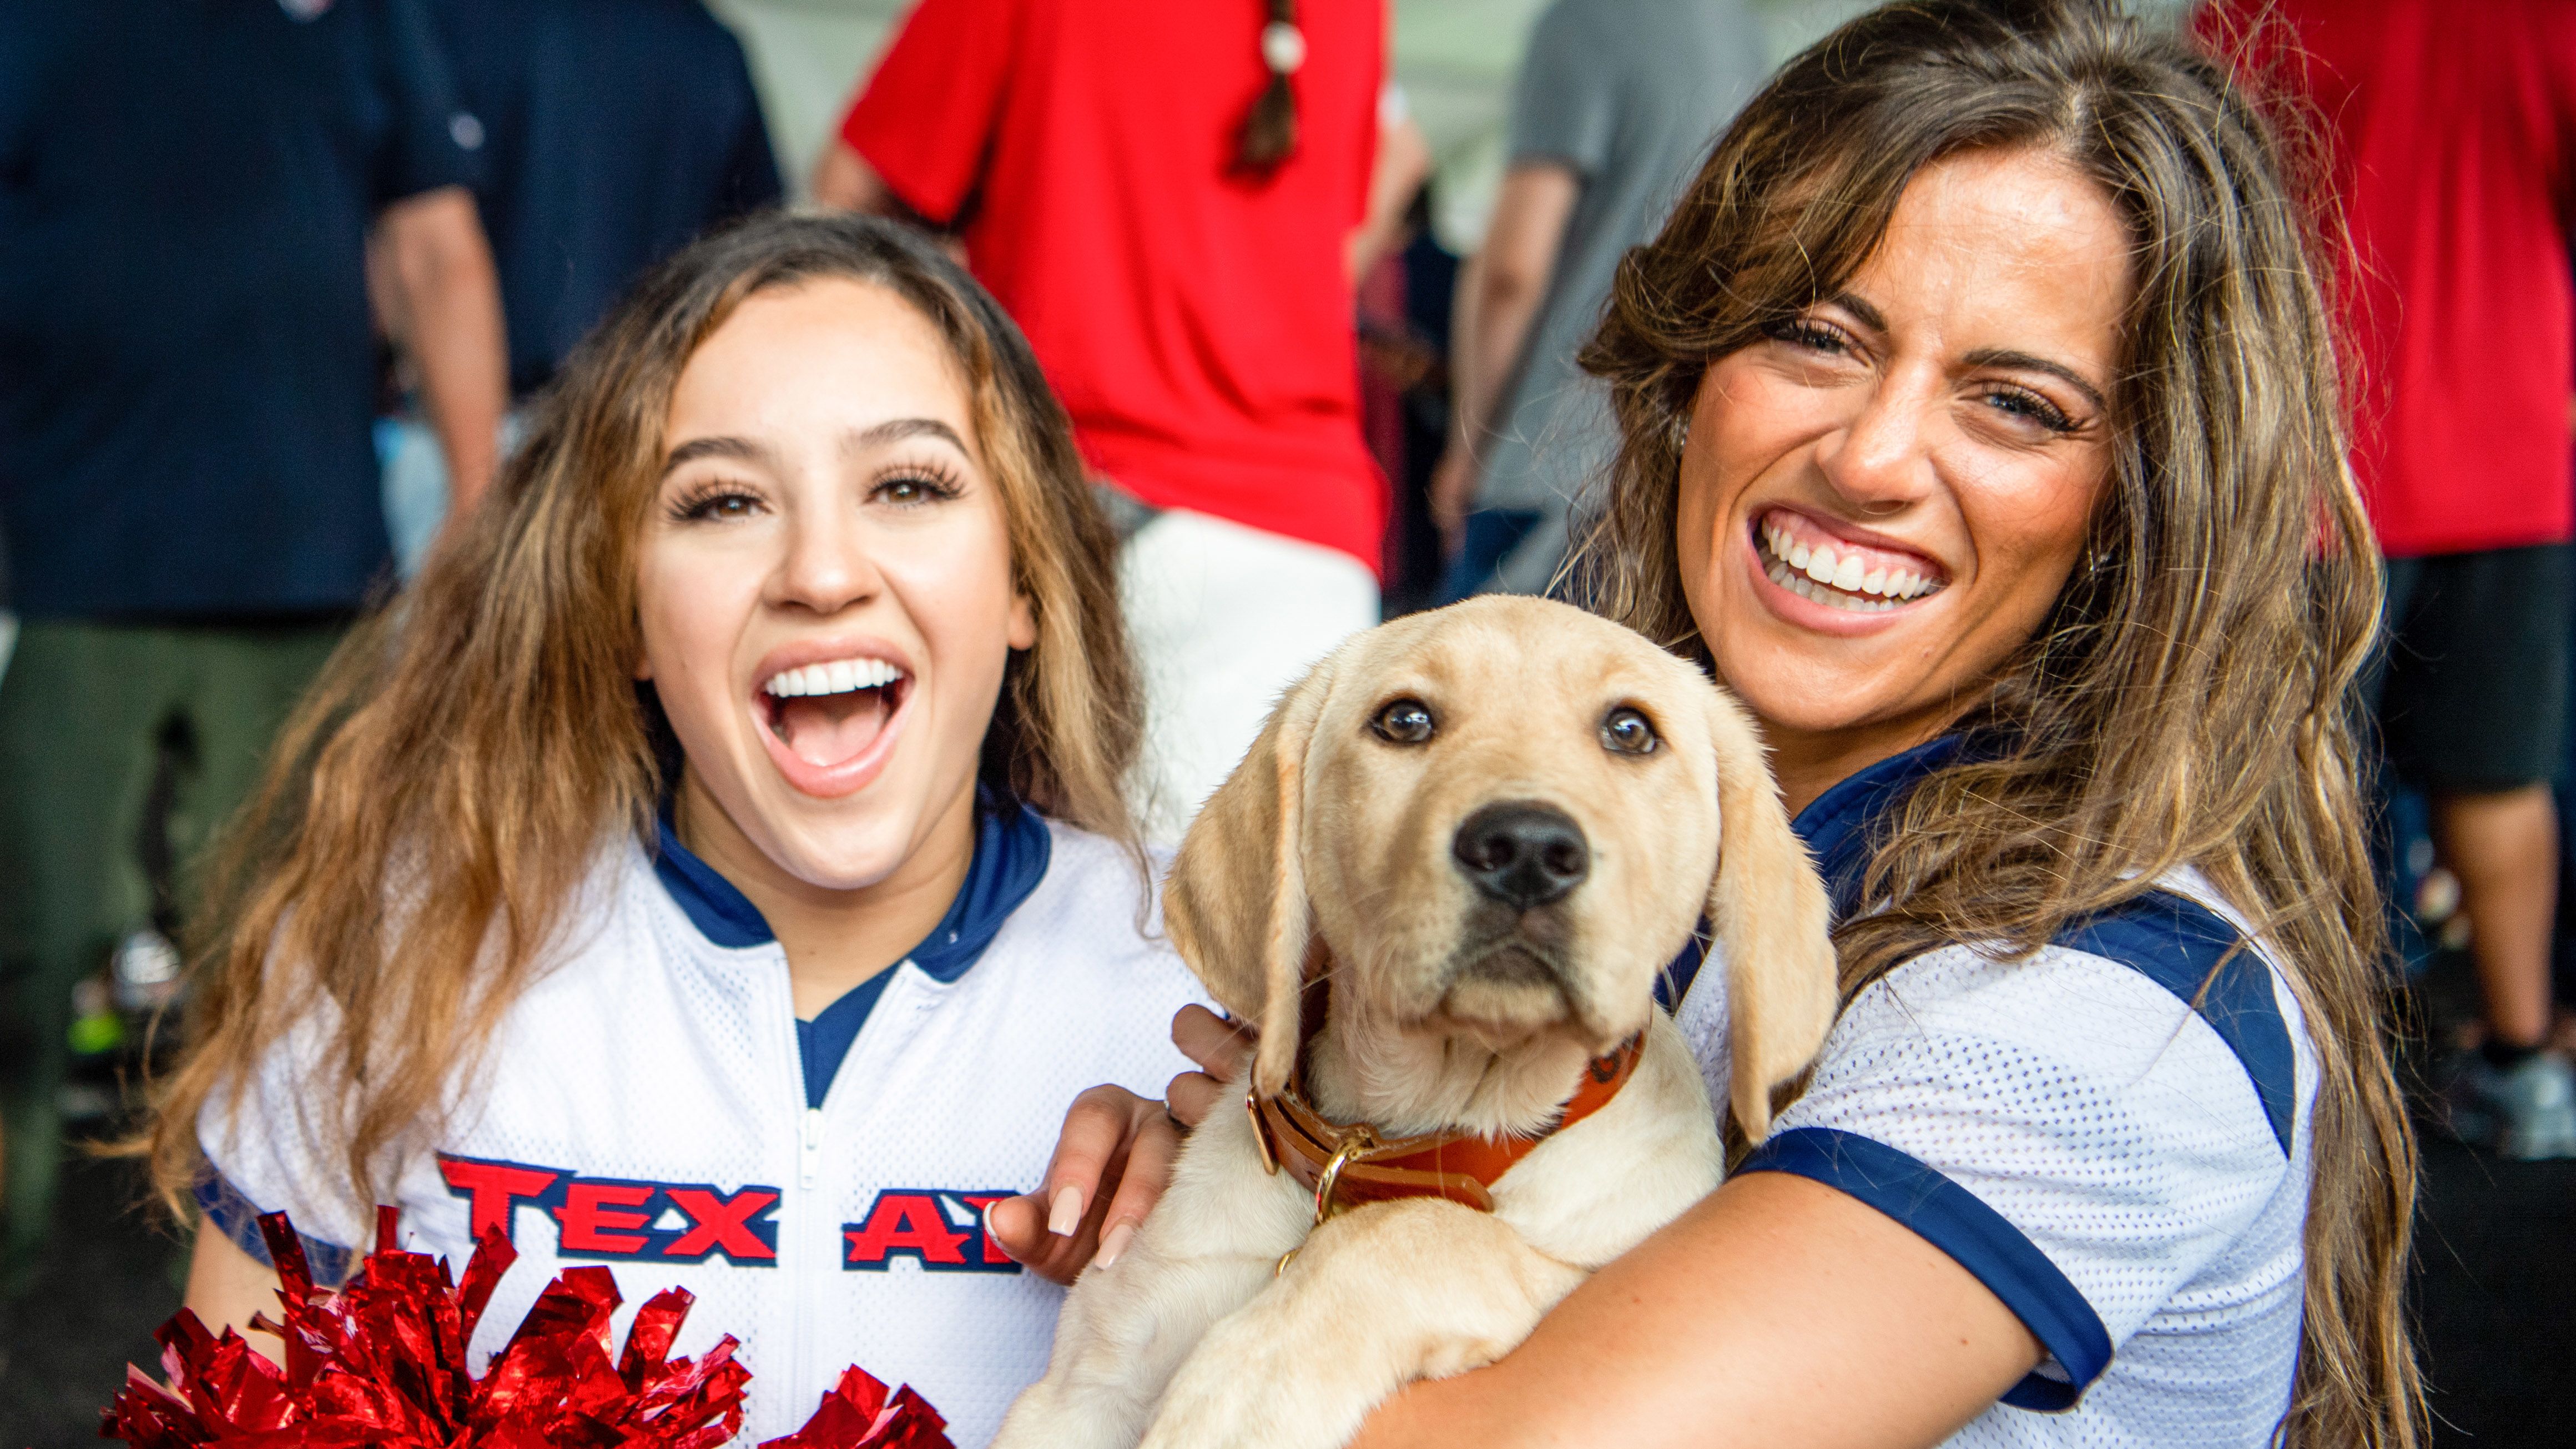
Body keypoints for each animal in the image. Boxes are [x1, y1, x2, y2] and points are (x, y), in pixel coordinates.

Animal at [984, 595, 1834, 1443]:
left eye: (1630, 731)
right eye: (1405, 720)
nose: (1527, 849)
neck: (1409, 1134)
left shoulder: (1577, 1270)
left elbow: (1416, 1233)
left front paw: (1240, 1388)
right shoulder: (1084, 1387)